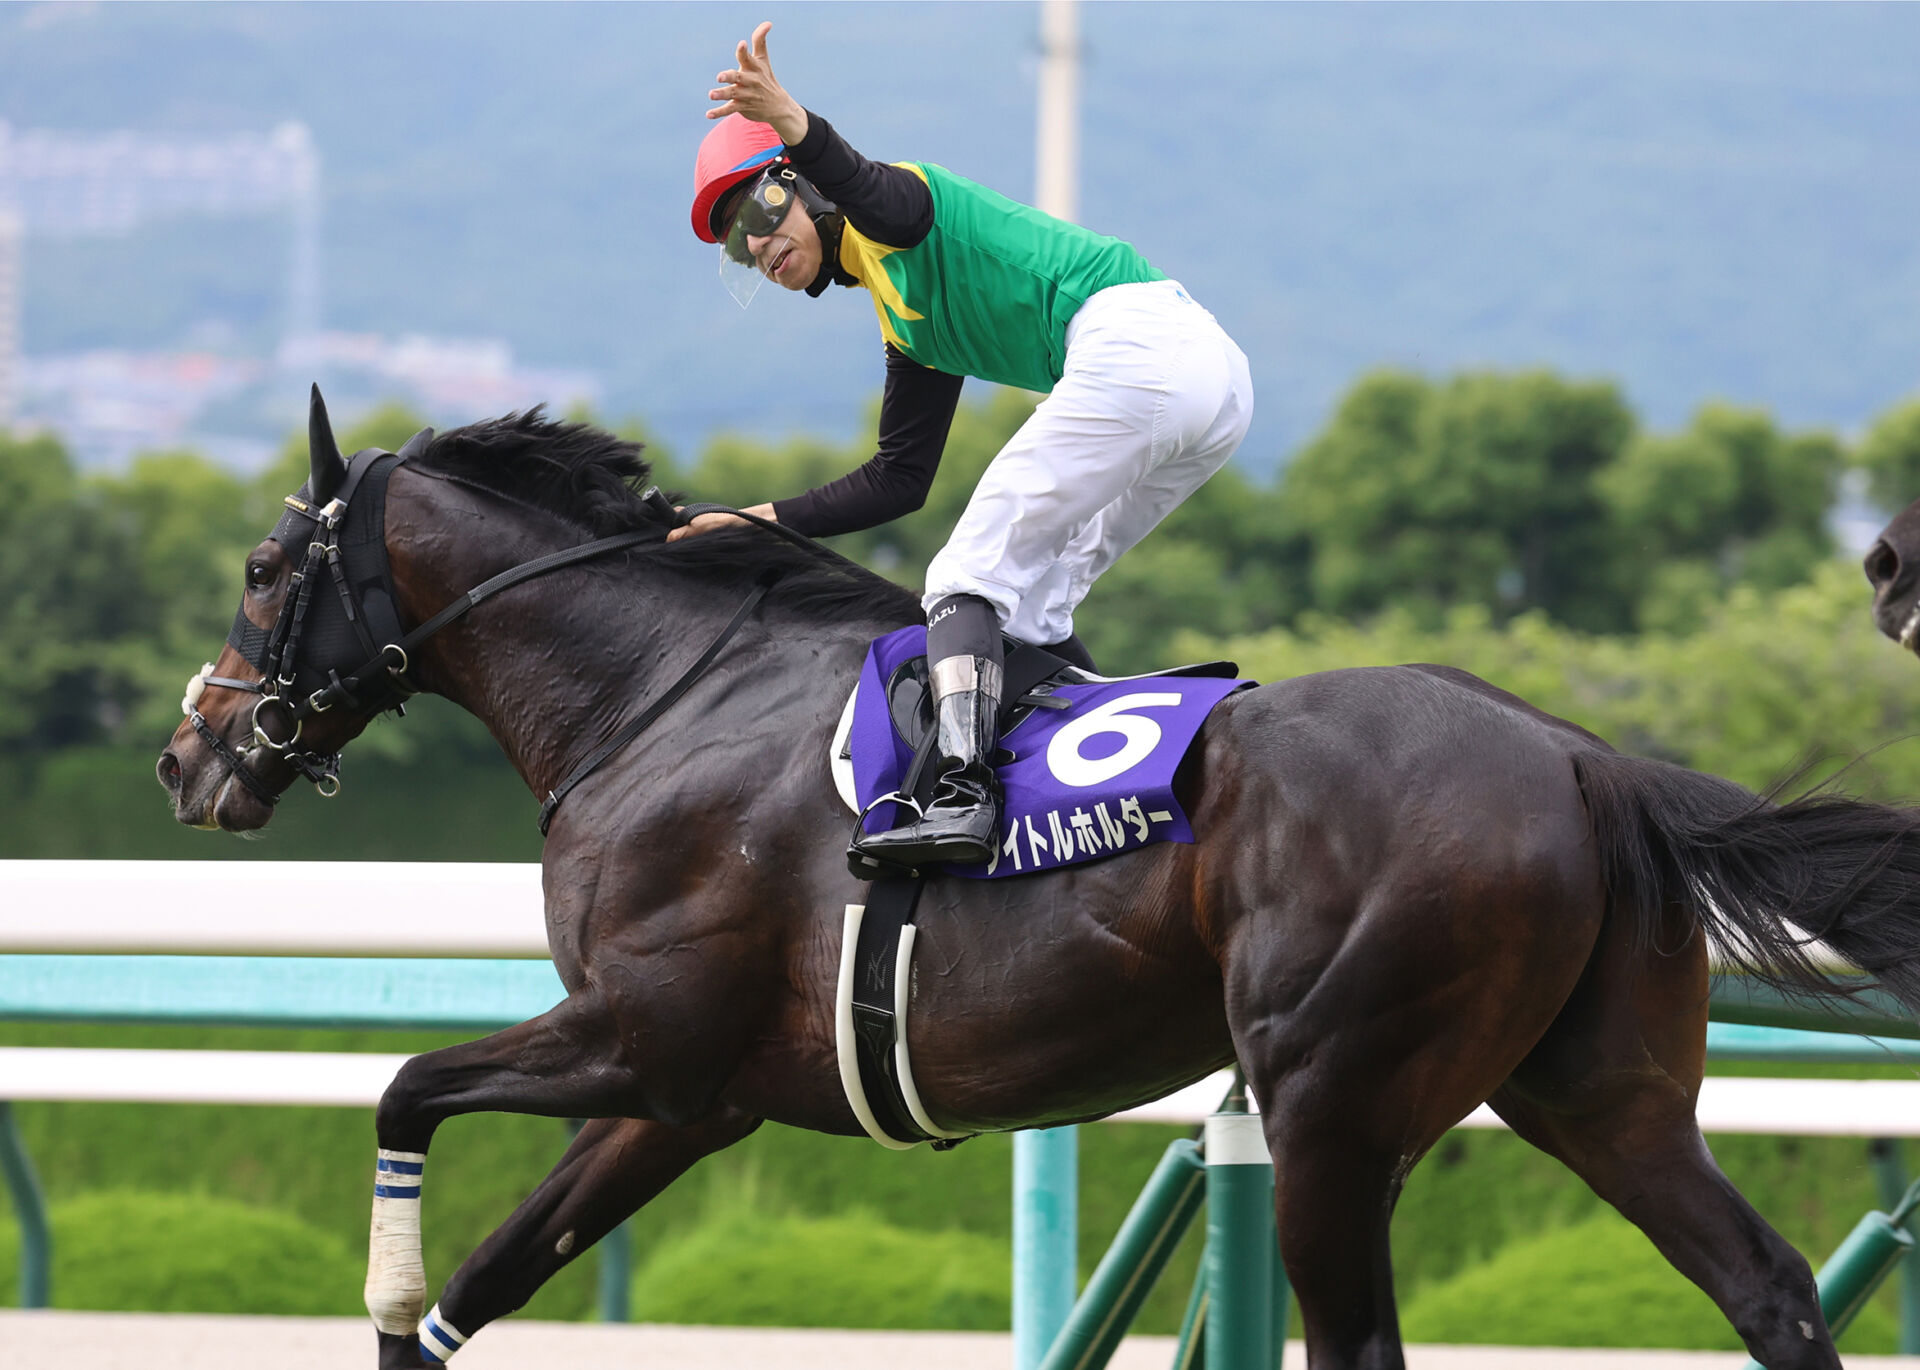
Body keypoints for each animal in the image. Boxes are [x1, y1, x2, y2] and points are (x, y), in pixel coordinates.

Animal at [157, 404, 1920, 1366]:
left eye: (260, 566)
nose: (190, 756)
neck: (661, 694)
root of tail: (1576, 756)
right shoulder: (693, 1094)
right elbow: (492, 1273)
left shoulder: (644, 1033)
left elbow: (403, 1088)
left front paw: (380, 1284)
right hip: (1597, 1089)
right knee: (1770, 1290)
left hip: (1335, 1097)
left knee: (1363, 1334)